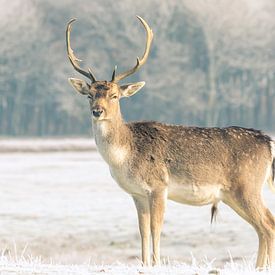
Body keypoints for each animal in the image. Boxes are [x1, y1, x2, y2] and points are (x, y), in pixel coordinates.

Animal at [66, 15, 275, 270]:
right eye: (89, 95)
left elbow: (156, 229)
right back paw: (259, 267)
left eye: (114, 95)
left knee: (268, 224)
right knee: (262, 227)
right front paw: (144, 264)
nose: (97, 111)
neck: (125, 155)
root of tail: (269, 143)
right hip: (233, 194)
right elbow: (142, 231)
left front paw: (157, 264)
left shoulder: (158, 186)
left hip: (247, 186)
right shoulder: (137, 193)